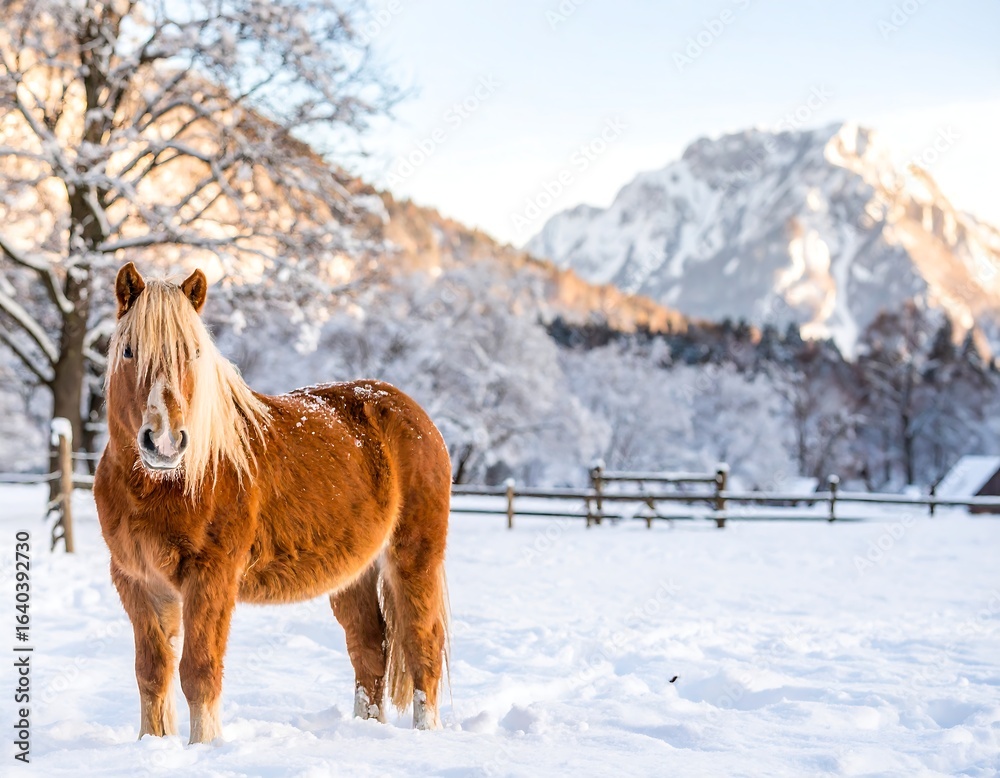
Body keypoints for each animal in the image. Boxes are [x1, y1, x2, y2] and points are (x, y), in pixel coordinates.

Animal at [94, 262, 451, 744]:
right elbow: (152, 673)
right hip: (355, 573)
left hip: (413, 560)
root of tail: (413, 413)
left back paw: (424, 735)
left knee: (421, 646)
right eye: (129, 351)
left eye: (193, 352)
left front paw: (205, 746)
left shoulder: (211, 578)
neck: (172, 482)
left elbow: (199, 672)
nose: (165, 441)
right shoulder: (138, 582)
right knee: (369, 648)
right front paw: (153, 745)